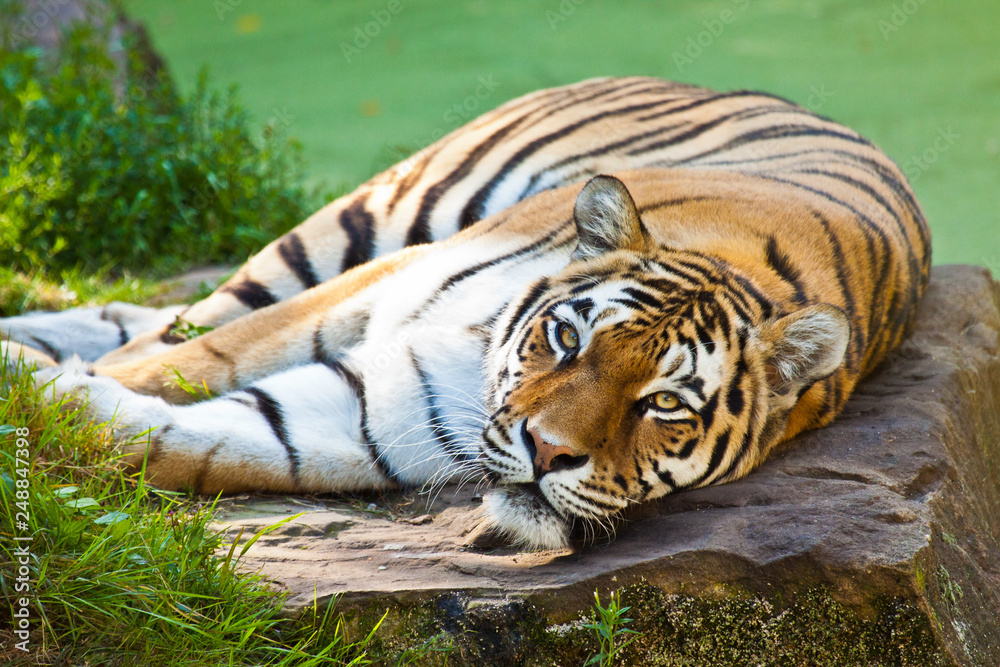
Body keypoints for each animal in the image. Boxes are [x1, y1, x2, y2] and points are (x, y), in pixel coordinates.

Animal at [2, 77, 930, 550]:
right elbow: (194, 359)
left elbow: (208, 439)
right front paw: (48, 377)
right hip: (372, 213)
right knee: (185, 312)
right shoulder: (377, 283)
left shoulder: (374, 416)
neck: (479, 359)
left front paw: (52, 397)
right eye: (568, 337)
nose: (549, 453)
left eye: (665, 402)